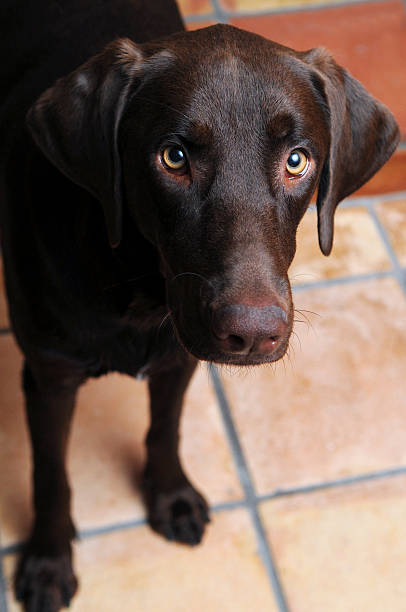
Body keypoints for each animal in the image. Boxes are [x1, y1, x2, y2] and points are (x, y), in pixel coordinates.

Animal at [0, 0, 400, 608]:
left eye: (297, 160)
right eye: (174, 156)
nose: (253, 334)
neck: (138, 293)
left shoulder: (178, 356)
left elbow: (165, 427)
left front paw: (170, 496)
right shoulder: (50, 375)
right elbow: (51, 475)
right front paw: (48, 562)